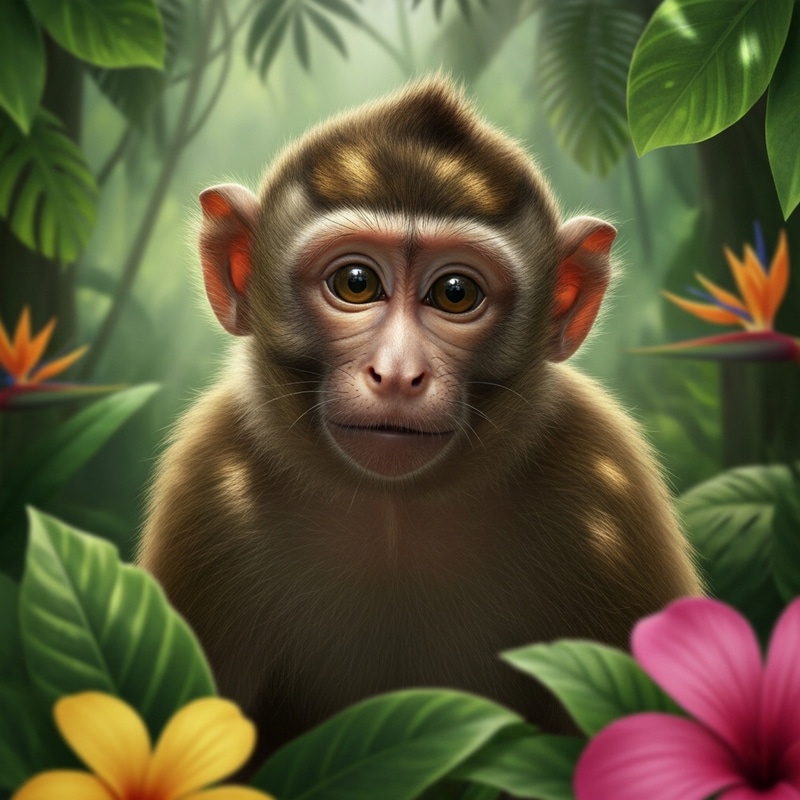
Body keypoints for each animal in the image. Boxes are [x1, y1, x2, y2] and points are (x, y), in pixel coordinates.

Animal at [138, 77, 702, 763]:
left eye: (455, 293)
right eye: (356, 282)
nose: (398, 373)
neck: (395, 510)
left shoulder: (607, 481)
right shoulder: (209, 484)